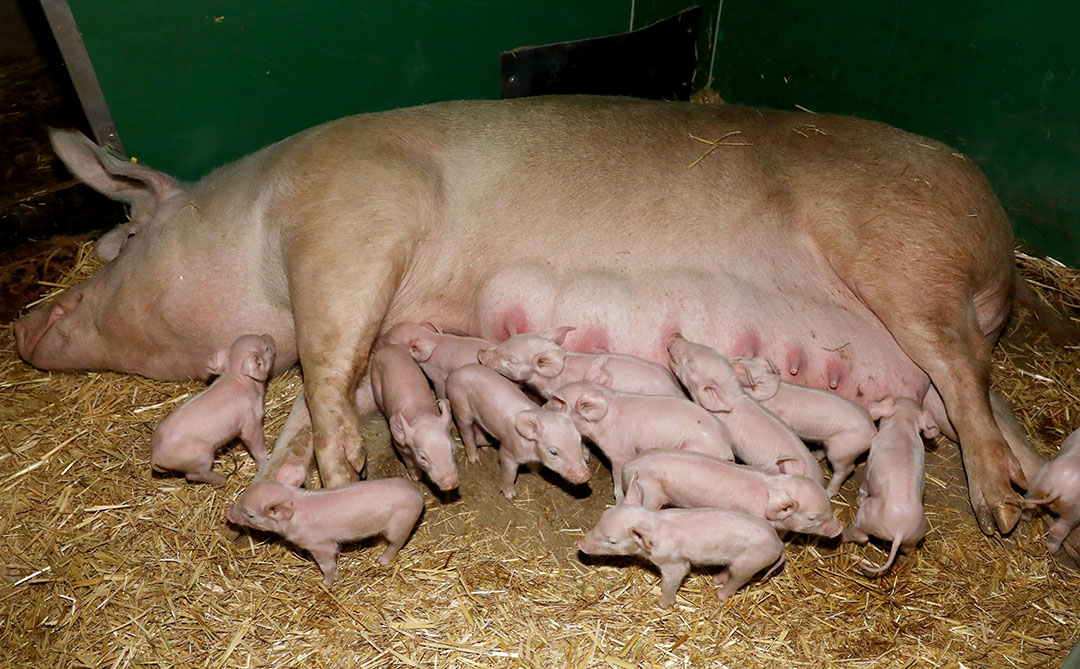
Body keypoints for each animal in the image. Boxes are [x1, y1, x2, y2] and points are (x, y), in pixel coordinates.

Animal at [12, 95, 1058, 544]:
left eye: (118, 245)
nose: (23, 327)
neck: (253, 229)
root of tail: (999, 250)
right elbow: (318, 390)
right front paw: (293, 471)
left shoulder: (351, 224)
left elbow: (329, 361)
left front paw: (337, 475)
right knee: (991, 400)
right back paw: (1037, 492)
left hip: (908, 264)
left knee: (967, 378)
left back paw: (1003, 509)